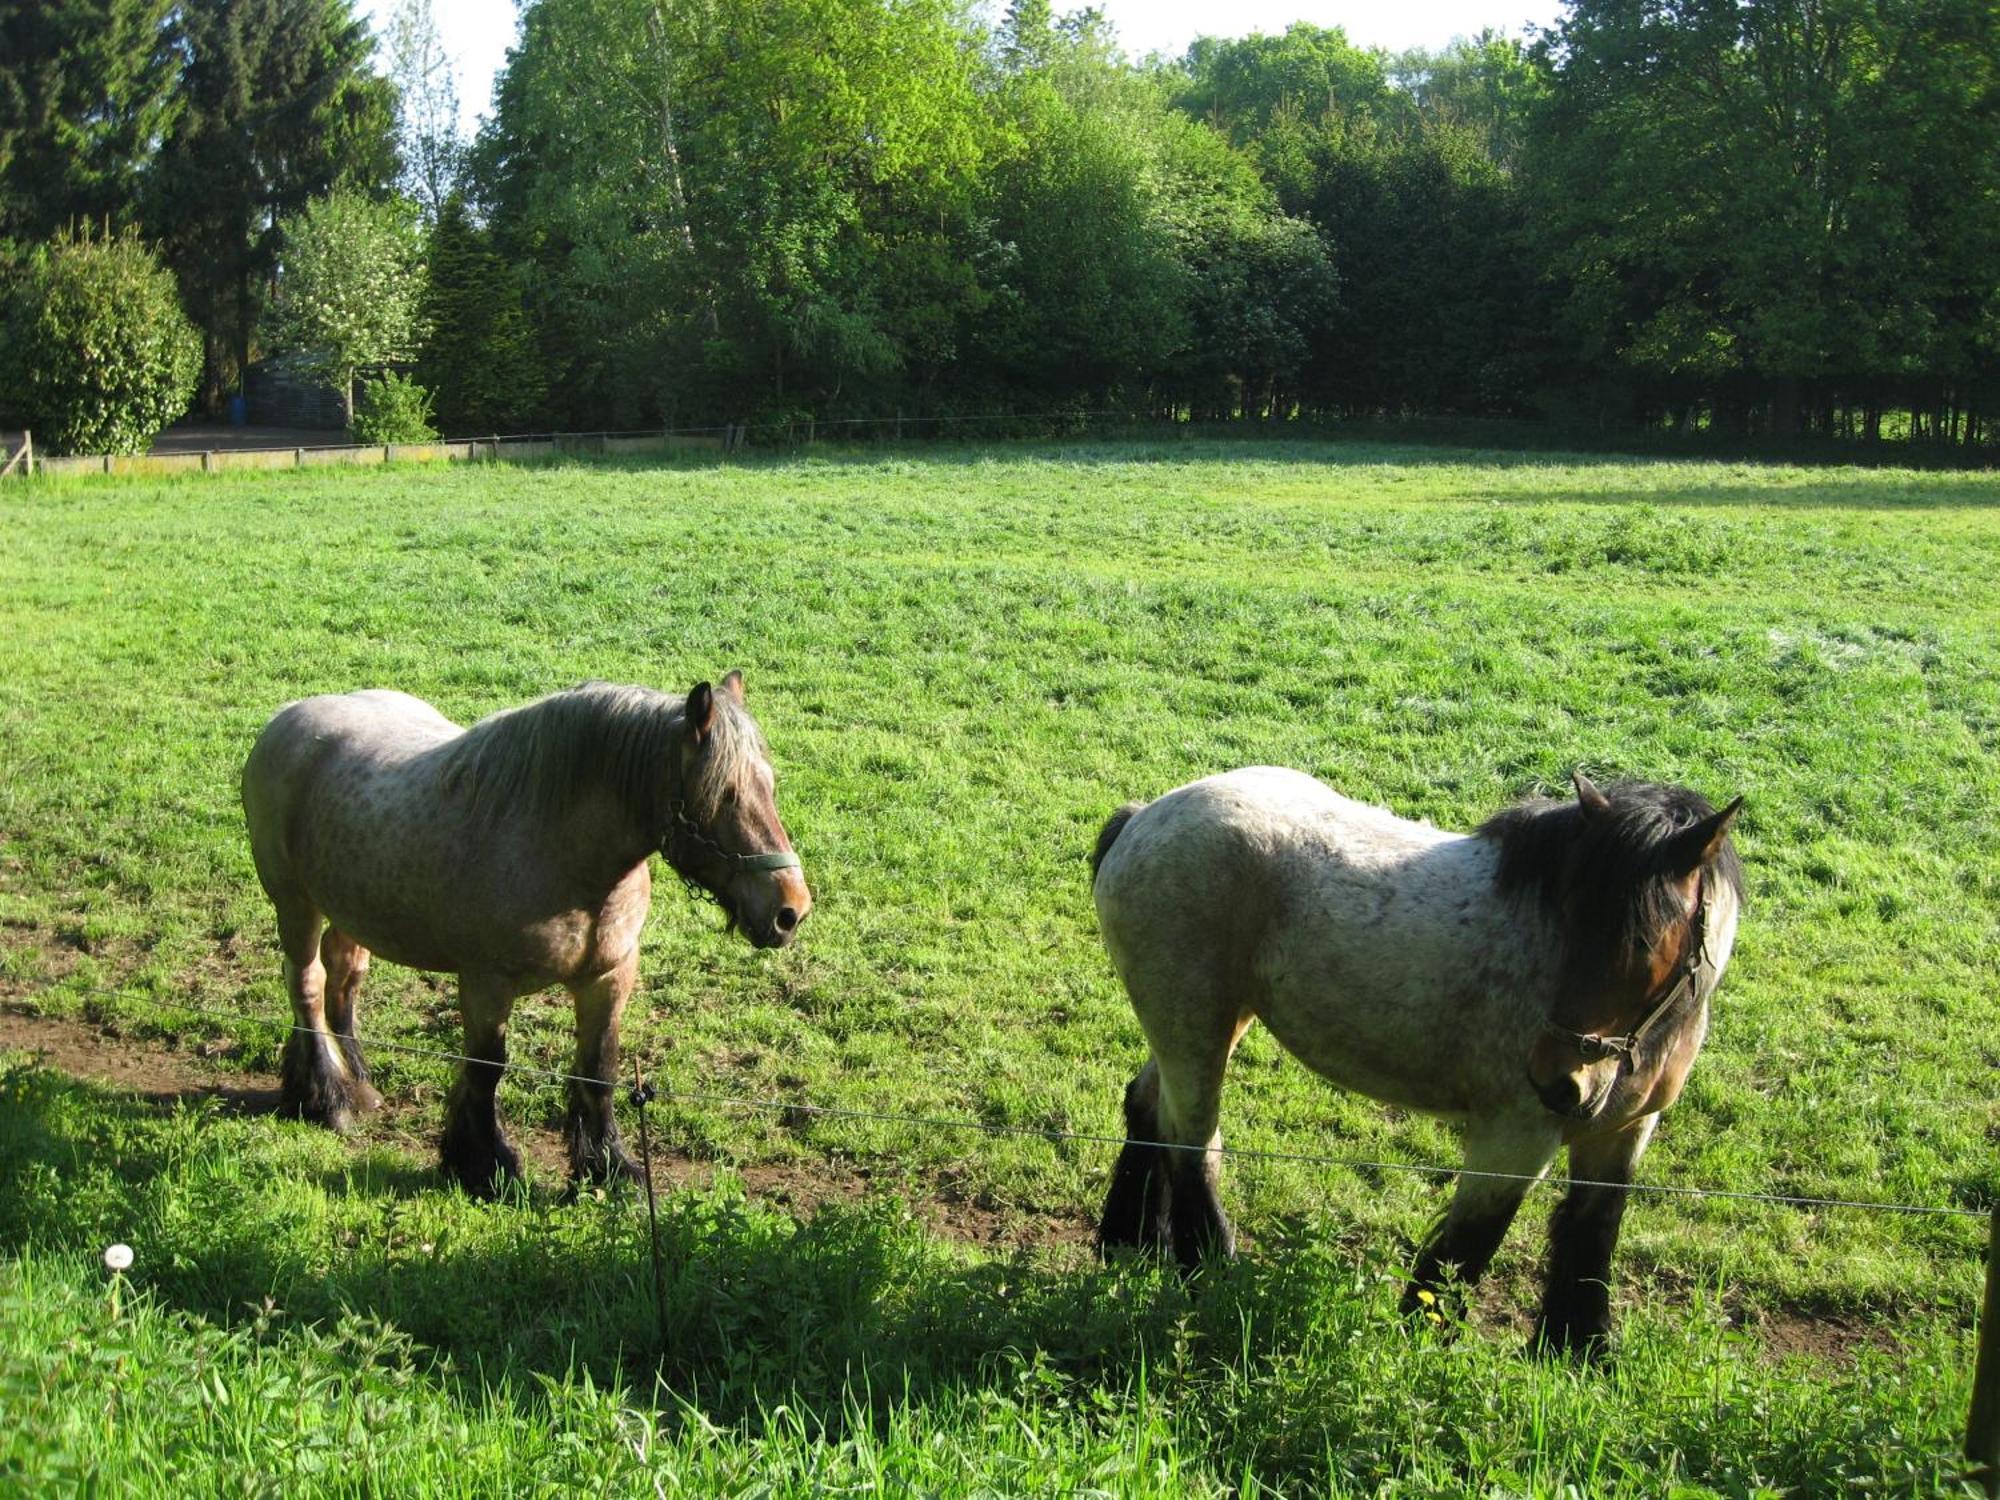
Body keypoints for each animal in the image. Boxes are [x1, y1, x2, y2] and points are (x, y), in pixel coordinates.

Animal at [246, 680, 808, 1200]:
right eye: (723, 795)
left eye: (769, 785)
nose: (791, 910)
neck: (562, 852)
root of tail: (289, 717)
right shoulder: (486, 983)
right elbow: (487, 1069)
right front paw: (484, 1166)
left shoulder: (609, 976)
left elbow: (599, 1068)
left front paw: (607, 1168)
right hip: (295, 904)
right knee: (308, 984)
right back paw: (328, 1098)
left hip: (349, 908)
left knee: (344, 975)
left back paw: (358, 1084)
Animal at [1096, 768, 1736, 1368]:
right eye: (1567, 917)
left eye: (1644, 944)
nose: (1559, 1080)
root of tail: (1142, 820)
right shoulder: (1514, 1141)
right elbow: (1463, 1252)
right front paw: (1420, 1357)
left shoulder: (1622, 1134)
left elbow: (1592, 1233)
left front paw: (1580, 1354)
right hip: (1194, 1026)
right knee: (1194, 1144)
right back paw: (1214, 1274)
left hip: (1212, 1023)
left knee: (1148, 1107)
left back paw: (1130, 1243)